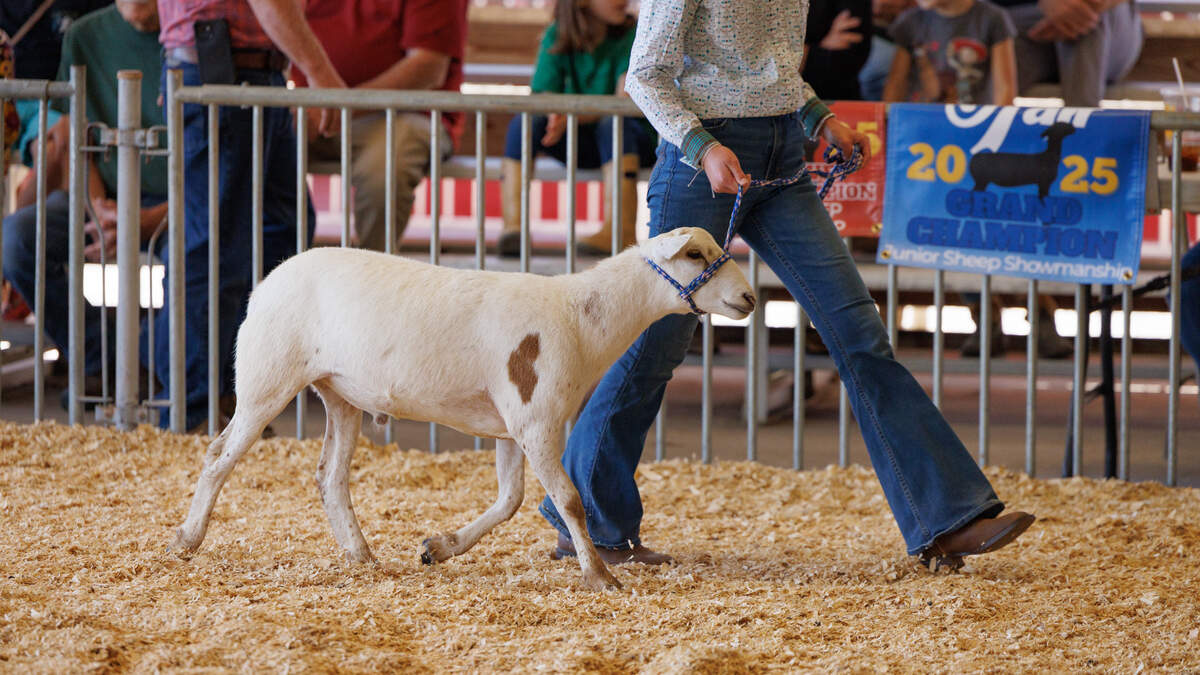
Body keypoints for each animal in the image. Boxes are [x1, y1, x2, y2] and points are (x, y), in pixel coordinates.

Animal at [169, 227, 755, 590]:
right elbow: (568, 499)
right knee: (220, 455)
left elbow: (510, 500)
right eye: (695, 255)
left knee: (329, 477)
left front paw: (439, 547)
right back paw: (186, 541)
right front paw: (601, 577)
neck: (582, 317)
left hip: (340, 393)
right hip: (267, 375)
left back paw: (361, 555)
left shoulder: (513, 426)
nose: (750, 299)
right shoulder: (536, 419)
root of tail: (269, 280)